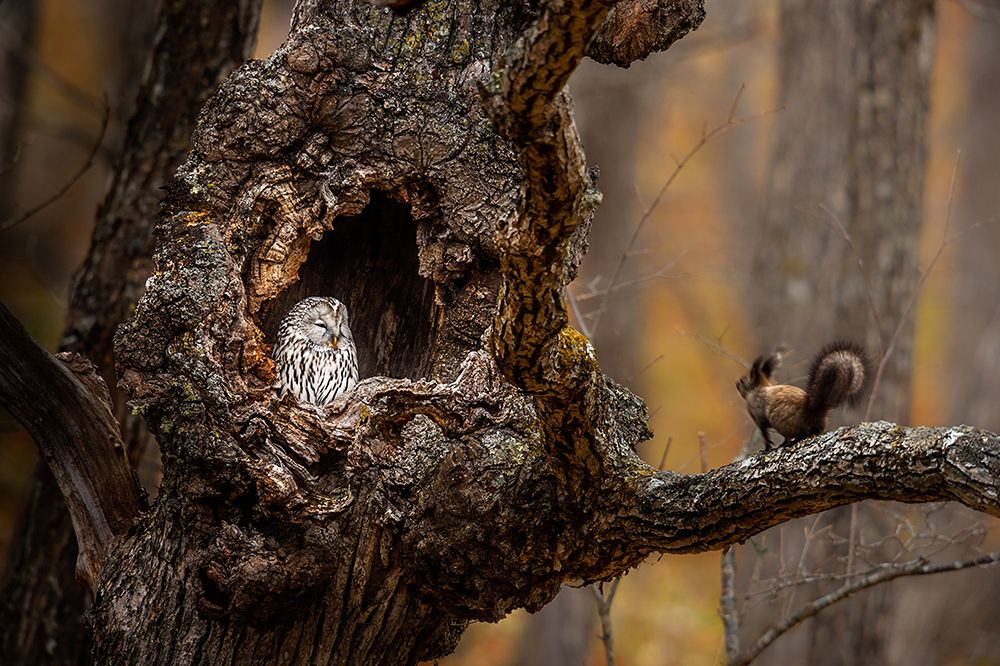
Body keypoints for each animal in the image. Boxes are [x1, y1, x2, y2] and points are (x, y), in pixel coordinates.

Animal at [736, 341, 871, 451]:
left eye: (743, 381)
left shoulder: (758, 416)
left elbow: (765, 433)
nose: (736, 384)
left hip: (781, 421)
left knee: (800, 433)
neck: (757, 390)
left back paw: (792, 441)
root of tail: (813, 411)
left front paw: (767, 447)